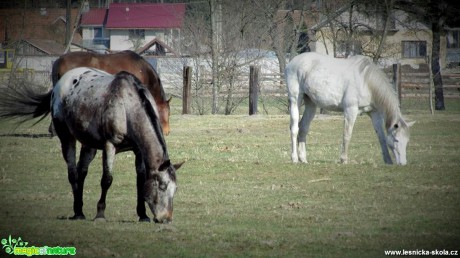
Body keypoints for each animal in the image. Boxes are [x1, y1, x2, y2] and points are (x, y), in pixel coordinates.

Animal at [286, 53, 416, 165]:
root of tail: (292, 62)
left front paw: (388, 160)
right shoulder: (351, 110)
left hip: (311, 104)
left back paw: (303, 159)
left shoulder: (374, 114)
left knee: (303, 128)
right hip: (295, 99)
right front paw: (343, 159)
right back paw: (294, 158)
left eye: (407, 141)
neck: (366, 82)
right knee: (294, 129)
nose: (403, 163)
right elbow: (347, 134)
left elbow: (382, 137)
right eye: (396, 140)